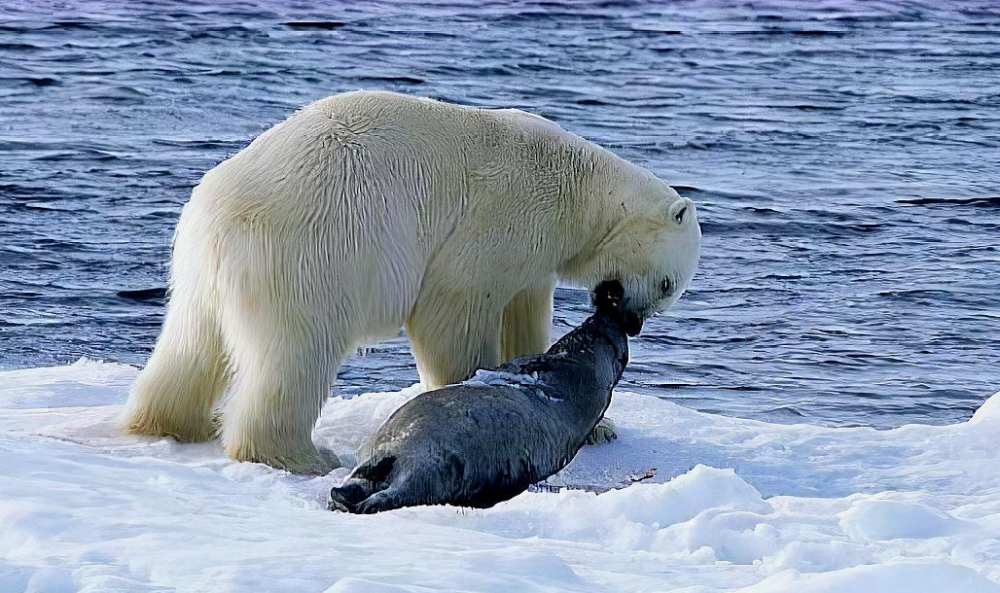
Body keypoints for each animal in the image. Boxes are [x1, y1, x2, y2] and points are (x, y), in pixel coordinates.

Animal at [121, 91, 700, 472]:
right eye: (668, 284)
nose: (633, 322)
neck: (578, 187)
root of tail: (217, 216)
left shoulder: (533, 255)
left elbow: (524, 313)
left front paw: (599, 426)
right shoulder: (505, 210)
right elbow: (455, 303)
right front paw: (472, 390)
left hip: (201, 268)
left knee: (193, 342)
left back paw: (173, 422)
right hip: (312, 251)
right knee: (296, 353)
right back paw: (302, 454)